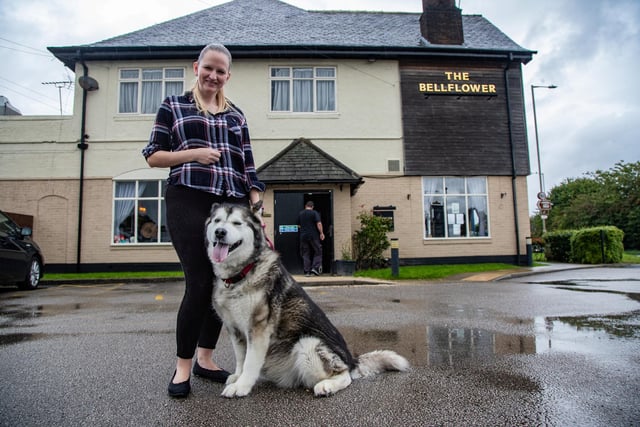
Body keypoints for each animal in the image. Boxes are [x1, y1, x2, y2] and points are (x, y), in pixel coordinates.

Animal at [202, 202, 408, 400]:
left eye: (237, 223)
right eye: (217, 221)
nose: (220, 232)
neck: (241, 274)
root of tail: (351, 360)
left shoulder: (258, 329)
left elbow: (250, 363)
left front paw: (242, 386)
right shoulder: (234, 329)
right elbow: (240, 359)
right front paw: (237, 377)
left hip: (308, 343)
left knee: (345, 375)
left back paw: (327, 386)